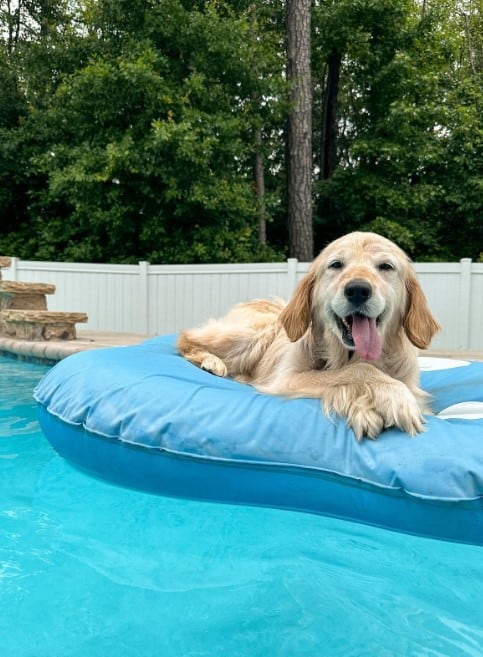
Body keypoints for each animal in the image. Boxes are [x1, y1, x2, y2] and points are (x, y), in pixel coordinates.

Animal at [176, 232, 440, 440]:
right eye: (336, 264)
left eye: (386, 266)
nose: (357, 290)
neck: (347, 353)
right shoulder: (287, 378)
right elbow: (357, 370)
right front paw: (394, 397)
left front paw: (365, 408)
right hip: (255, 333)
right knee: (184, 337)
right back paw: (212, 362)